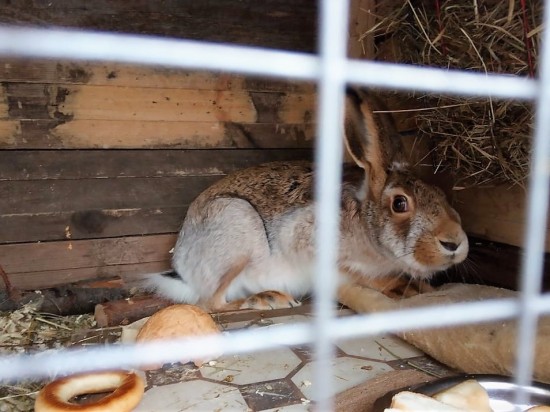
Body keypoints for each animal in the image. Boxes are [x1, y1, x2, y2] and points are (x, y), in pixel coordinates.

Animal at [148, 89, 470, 308]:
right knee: (210, 304)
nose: (454, 243)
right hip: (235, 226)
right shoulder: (308, 241)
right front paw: (404, 287)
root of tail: (184, 268)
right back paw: (267, 299)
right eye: (400, 203)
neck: (366, 227)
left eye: (442, 195)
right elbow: (356, 274)